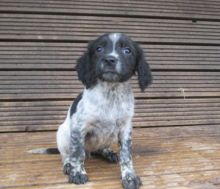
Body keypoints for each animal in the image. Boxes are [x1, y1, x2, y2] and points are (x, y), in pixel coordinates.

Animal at [55, 32, 152, 189]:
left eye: (127, 50)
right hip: (63, 134)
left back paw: (108, 153)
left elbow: (126, 155)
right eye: (99, 49)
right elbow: (77, 153)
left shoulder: (125, 128)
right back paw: (69, 165)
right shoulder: (79, 127)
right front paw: (77, 173)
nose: (109, 60)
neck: (111, 93)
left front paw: (129, 176)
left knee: (100, 148)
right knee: (66, 154)